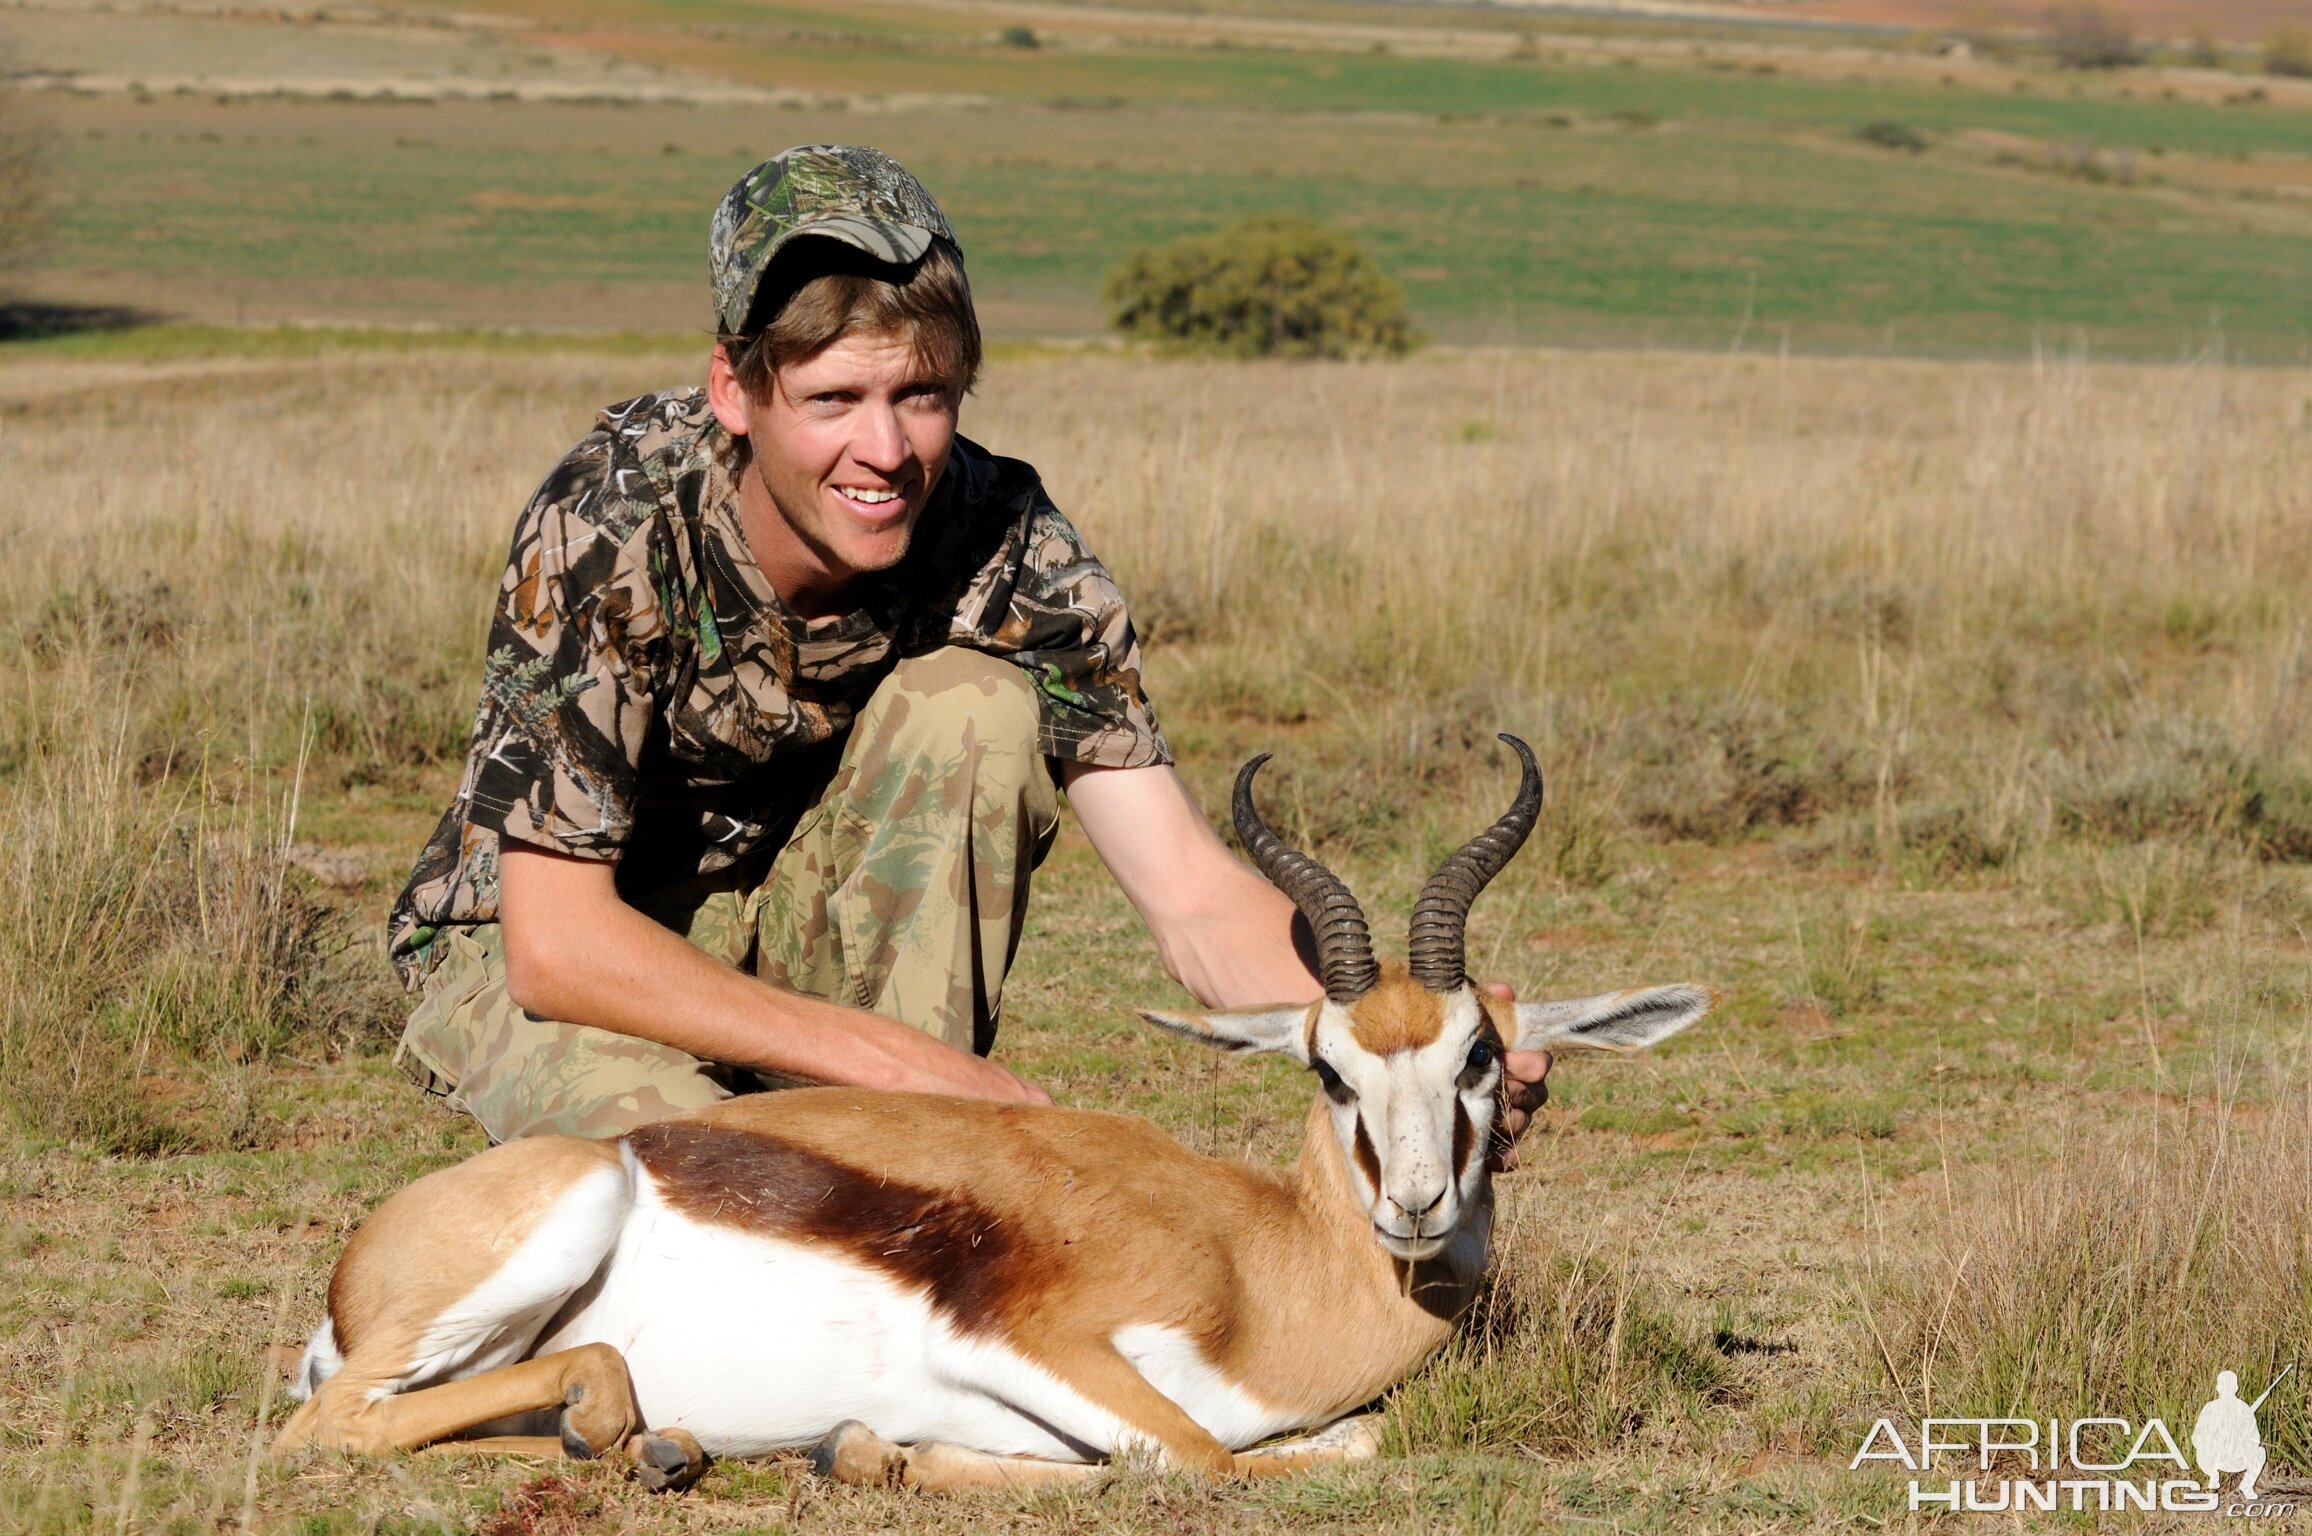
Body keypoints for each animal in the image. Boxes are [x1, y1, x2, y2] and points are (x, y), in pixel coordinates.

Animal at [275, 740, 1720, 1489]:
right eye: (1329, 1069)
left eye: (1482, 1056)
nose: (1414, 1207)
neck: (1262, 1270)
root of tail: (354, 1272)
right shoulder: (1032, 1344)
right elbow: (1209, 1459)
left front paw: (868, 1454)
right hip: (568, 1214)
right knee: (326, 1425)